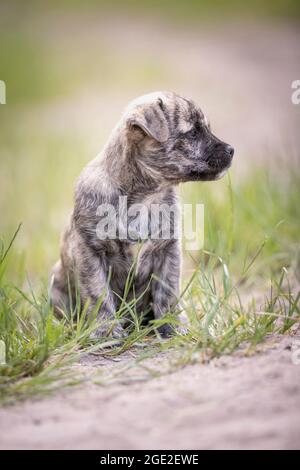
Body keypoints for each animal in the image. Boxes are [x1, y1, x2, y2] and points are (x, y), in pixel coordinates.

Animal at [49, 90, 233, 336]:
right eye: (193, 132)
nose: (232, 150)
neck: (145, 197)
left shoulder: (167, 251)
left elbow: (167, 292)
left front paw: (172, 325)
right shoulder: (90, 252)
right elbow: (98, 295)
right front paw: (107, 331)